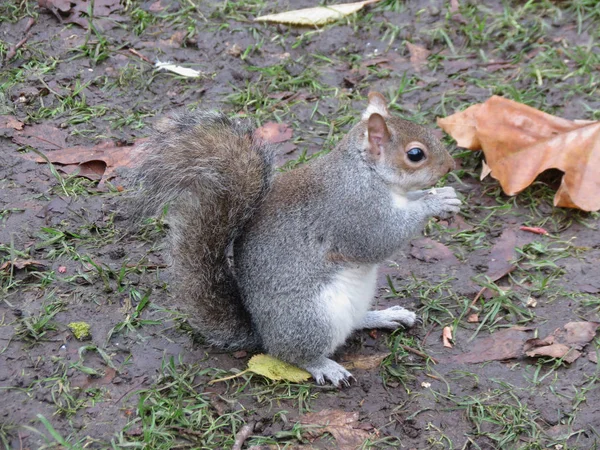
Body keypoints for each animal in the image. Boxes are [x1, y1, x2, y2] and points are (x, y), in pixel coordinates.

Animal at [131, 92, 460, 386]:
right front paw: (436, 202)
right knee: (292, 354)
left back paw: (383, 316)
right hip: (311, 317)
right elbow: (379, 239)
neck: (367, 173)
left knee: (353, 322)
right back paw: (325, 366)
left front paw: (441, 195)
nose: (450, 166)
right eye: (415, 154)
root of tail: (262, 332)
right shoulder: (354, 211)